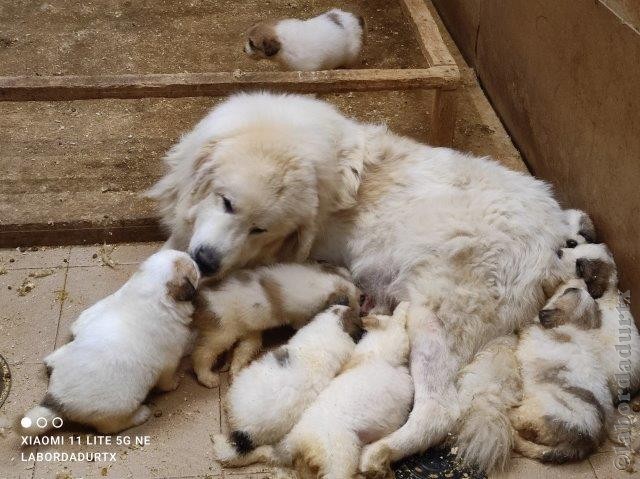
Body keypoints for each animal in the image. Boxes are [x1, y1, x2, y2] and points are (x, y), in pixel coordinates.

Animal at [20, 251, 199, 436]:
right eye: (193, 267)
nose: (195, 258)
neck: (150, 297)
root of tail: (57, 399)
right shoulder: (169, 364)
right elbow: (167, 381)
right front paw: (175, 382)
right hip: (119, 409)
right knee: (111, 428)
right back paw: (141, 414)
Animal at [190, 260, 360, 388]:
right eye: (356, 301)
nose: (362, 301)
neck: (319, 283)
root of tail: (201, 300)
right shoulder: (299, 318)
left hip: (250, 335)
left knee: (240, 353)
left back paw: (234, 374)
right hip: (222, 335)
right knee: (201, 355)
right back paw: (209, 378)